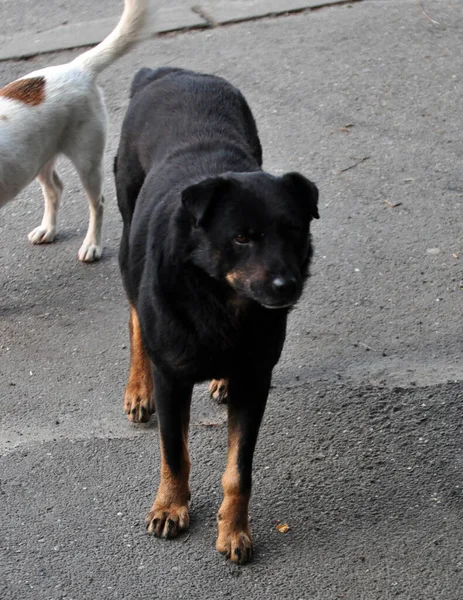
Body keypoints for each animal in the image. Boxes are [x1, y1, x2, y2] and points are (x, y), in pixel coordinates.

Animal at [0, 0, 148, 262]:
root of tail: (77, 67)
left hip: (88, 163)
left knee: (98, 203)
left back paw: (92, 245)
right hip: (38, 158)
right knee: (55, 190)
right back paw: (48, 229)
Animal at [115, 68, 320, 564]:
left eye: (293, 231)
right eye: (242, 237)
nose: (286, 286)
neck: (220, 302)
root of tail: (168, 72)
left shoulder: (256, 378)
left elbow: (238, 470)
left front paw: (235, 529)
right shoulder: (172, 378)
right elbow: (174, 451)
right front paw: (170, 507)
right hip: (127, 234)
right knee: (134, 317)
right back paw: (137, 389)